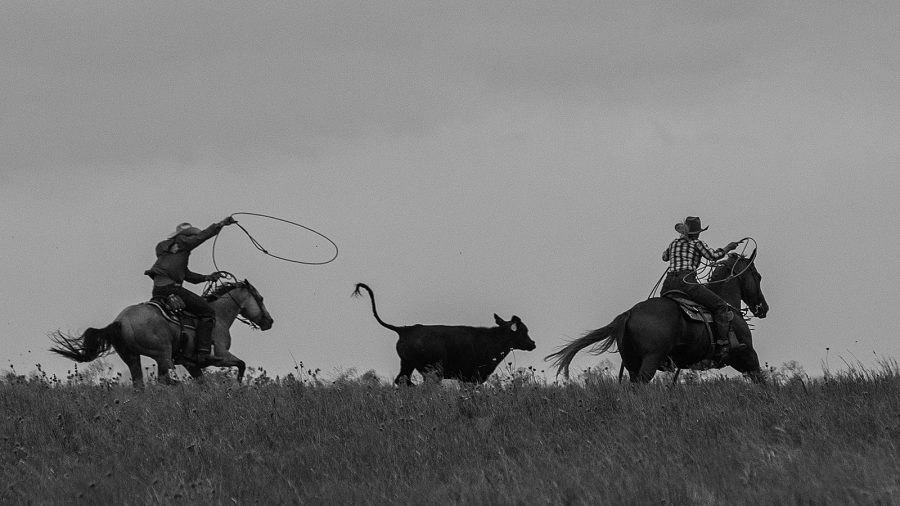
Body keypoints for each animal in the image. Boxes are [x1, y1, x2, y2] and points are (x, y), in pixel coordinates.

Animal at [50, 277, 274, 388]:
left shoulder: (192, 364)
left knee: (140, 384)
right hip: (163, 355)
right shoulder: (220, 356)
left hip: (132, 357)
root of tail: (120, 321)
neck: (218, 315)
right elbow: (241, 365)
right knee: (165, 380)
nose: (269, 321)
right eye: (261, 298)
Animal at [546, 252, 769, 383]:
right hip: (649, 361)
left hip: (632, 364)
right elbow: (762, 380)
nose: (763, 308)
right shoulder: (748, 356)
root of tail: (630, 313)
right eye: (758, 276)